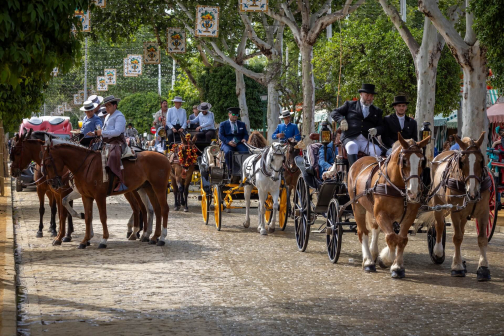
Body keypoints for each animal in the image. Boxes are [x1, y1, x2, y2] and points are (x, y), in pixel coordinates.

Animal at [41, 135, 171, 248]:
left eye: (48, 164)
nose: (53, 184)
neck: (85, 166)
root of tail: (163, 156)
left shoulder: (99, 196)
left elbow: (102, 217)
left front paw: (103, 240)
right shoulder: (85, 195)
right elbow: (86, 216)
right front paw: (85, 240)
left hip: (157, 187)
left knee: (161, 208)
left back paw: (160, 238)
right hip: (148, 188)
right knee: (154, 209)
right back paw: (152, 236)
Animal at [350, 134, 430, 278]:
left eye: (422, 161)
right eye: (404, 161)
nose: (413, 193)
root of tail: (360, 160)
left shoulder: (409, 215)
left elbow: (401, 239)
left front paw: (397, 267)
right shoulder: (381, 213)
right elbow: (391, 237)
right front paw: (386, 259)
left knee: (375, 229)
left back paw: (373, 253)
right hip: (357, 206)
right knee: (363, 231)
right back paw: (368, 261)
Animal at [420, 133, 490, 280]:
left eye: (481, 161)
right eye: (462, 162)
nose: (473, 193)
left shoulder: (484, 212)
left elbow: (482, 239)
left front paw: (483, 267)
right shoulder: (456, 211)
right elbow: (457, 238)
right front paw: (457, 267)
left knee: (460, 230)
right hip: (438, 204)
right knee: (439, 226)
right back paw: (438, 251)